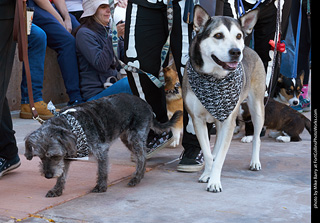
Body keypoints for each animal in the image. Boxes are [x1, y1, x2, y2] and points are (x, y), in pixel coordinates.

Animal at [24, 93, 181, 198]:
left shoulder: (101, 151)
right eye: (40, 157)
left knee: (142, 157)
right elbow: (62, 175)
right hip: (127, 139)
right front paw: (56, 189)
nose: (47, 175)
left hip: (135, 137)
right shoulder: (67, 157)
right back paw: (140, 174)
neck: (72, 125)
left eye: (55, 156)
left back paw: (136, 178)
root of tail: (146, 104)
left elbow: (102, 170)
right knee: (142, 156)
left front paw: (101, 186)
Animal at [182, 6, 264, 193]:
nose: (236, 52)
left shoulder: (228, 121)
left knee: (257, 136)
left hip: (256, 107)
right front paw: (207, 174)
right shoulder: (197, 120)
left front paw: (214, 181)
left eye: (238, 36)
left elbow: (220, 155)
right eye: (218, 35)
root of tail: (249, 49)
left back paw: (255, 161)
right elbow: (207, 152)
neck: (214, 77)